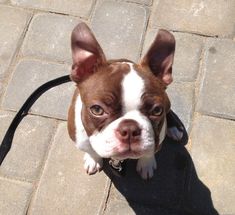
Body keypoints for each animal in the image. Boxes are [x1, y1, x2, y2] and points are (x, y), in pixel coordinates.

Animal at [67, 22, 181, 180]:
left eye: (157, 110)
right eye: (97, 110)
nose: (129, 129)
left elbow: (149, 153)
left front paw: (146, 164)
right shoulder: (81, 141)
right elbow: (91, 150)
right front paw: (93, 159)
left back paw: (174, 127)